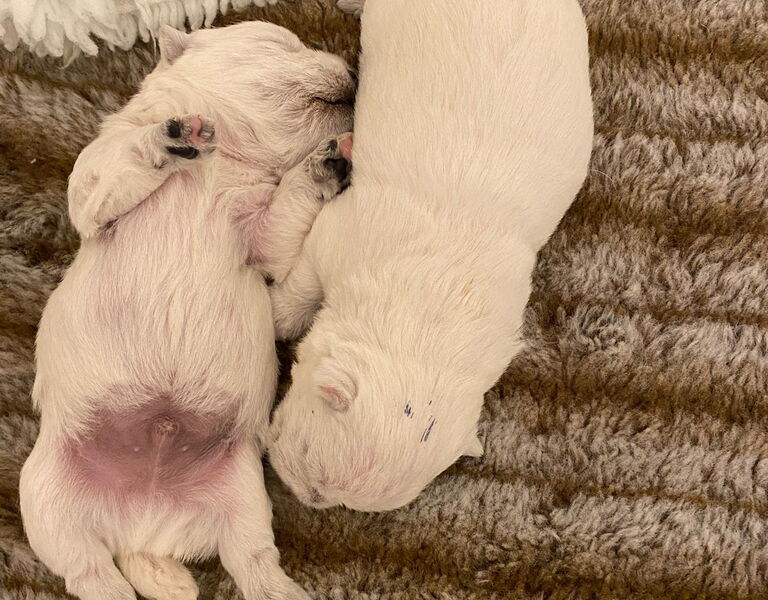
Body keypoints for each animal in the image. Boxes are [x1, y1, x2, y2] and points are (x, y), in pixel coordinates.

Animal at [19, 22, 354, 600]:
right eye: (280, 43)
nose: (356, 71)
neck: (221, 164)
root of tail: (143, 526)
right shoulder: (91, 185)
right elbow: (111, 170)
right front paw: (173, 136)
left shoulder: (263, 234)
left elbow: (285, 215)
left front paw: (324, 163)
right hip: (43, 494)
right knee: (87, 568)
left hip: (243, 497)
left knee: (252, 559)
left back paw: (280, 590)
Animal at [268, 0, 593, 512]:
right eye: (305, 454)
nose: (304, 499)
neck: (426, 312)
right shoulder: (341, 234)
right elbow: (303, 282)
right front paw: (280, 315)